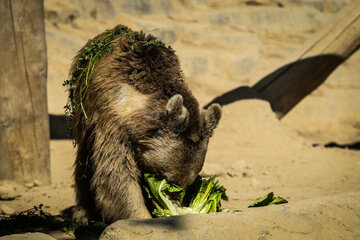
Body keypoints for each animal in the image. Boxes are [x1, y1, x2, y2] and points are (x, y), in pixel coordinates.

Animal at [66, 25, 221, 224]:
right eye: (168, 179)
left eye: (188, 183)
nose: (174, 203)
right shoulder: (113, 124)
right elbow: (116, 174)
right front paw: (142, 216)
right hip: (82, 110)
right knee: (85, 158)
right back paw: (83, 212)